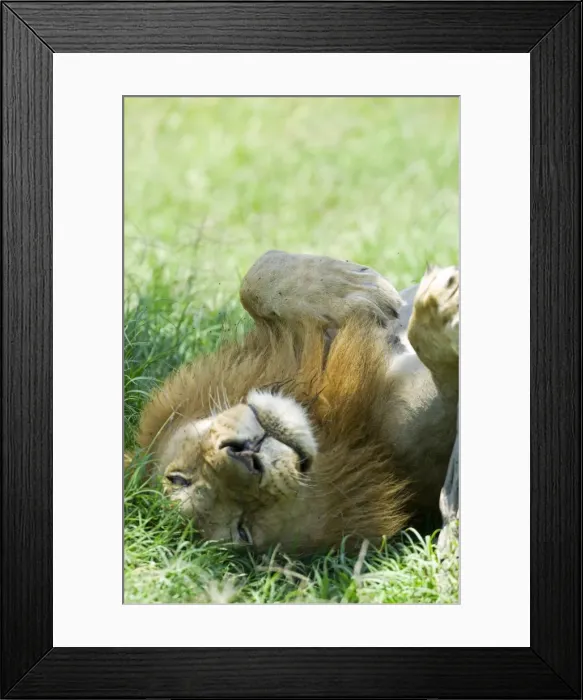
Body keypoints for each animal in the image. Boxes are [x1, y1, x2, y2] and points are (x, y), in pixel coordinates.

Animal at [136, 250, 459, 554]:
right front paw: (441, 308)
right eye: (242, 529)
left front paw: (357, 287)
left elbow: (256, 275)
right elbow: (443, 373)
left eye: (178, 478)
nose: (244, 455)